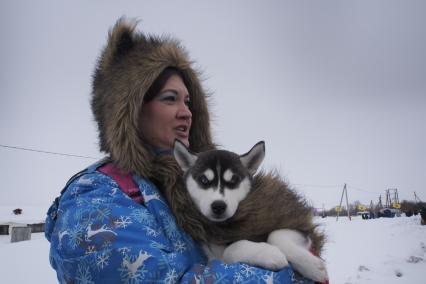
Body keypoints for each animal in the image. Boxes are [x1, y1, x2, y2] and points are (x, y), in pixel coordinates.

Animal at [171, 140, 328, 282]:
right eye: (203, 180)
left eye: (234, 180)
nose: (218, 206)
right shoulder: (213, 257)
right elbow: (229, 251)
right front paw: (270, 253)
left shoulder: (296, 223)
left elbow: (275, 235)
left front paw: (312, 267)